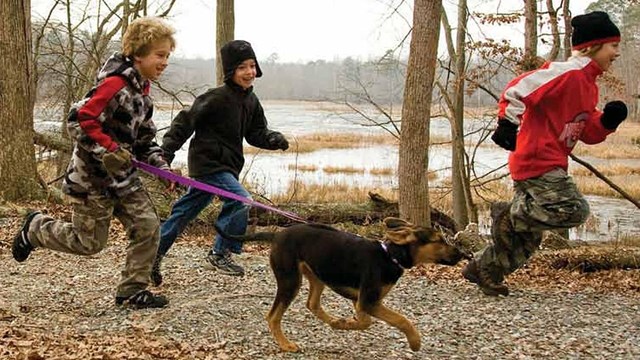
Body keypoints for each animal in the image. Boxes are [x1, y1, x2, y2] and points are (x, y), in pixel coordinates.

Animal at [215, 217, 464, 352]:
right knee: (273, 316)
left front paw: (343, 323)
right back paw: (286, 344)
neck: (390, 255)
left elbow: (366, 322)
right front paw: (415, 343)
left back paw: (333, 321)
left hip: (316, 275)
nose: (462, 254)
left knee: (312, 304)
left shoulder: (363, 301)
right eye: (439, 240)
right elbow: (400, 320)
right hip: (290, 280)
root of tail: (277, 236)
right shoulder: (368, 302)